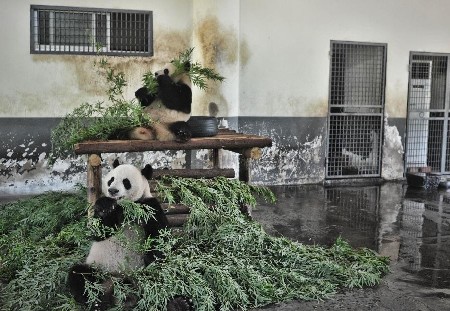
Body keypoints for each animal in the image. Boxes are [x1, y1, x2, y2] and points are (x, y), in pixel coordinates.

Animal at [67, 161, 192, 311]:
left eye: (126, 182)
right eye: (111, 179)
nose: (112, 190)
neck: (125, 207)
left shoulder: (149, 206)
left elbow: (160, 238)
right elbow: (98, 232)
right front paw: (105, 207)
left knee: (166, 278)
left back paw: (178, 303)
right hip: (99, 270)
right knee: (79, 276)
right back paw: (97, 302)